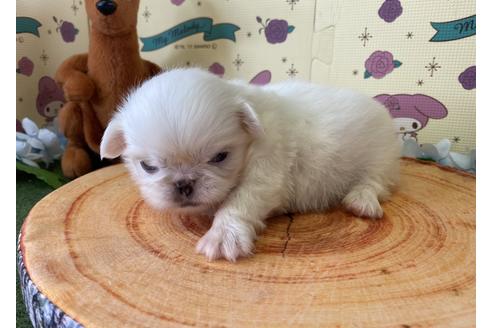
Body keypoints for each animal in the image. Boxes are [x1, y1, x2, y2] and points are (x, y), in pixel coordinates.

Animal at [100, 68, 400, 262]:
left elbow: (240, 201)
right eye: (148, 166)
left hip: (381, 156)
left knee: (375, 182)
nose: (184, 184)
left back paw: (361, 200)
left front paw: (223, 236)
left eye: (220, 157)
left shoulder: (267, 172)